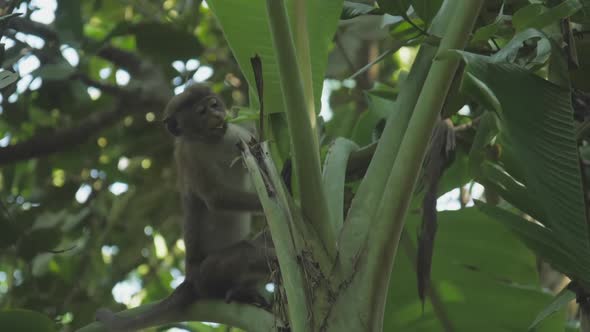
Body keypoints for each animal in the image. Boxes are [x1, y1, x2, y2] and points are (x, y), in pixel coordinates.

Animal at [95, 85, 276, 330]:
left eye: (213, 104)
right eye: (201, 112)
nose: (216, 114)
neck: (212, 140)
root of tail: (189, 279)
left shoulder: (237, 133)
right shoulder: (189, 154)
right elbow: (216, 198)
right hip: (206, 275)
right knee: (247, 253)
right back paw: (239, 292)